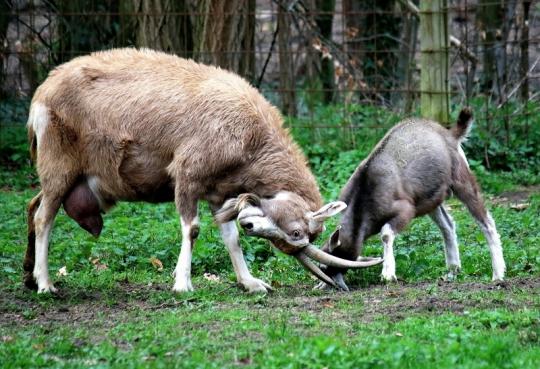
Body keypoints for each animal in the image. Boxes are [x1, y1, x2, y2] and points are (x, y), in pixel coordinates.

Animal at [24, 47, 380, 294]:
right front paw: (183, 284)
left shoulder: (218, 192)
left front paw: (252, 283)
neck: (251, 133)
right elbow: (192, 229)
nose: (251, 224)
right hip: (59, 165)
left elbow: (230, 236)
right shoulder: (187, 174)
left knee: (32, 205)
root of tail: (42, 93)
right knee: (44, 217)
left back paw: (28, 276)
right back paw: (45, 284)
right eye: (295, 233)